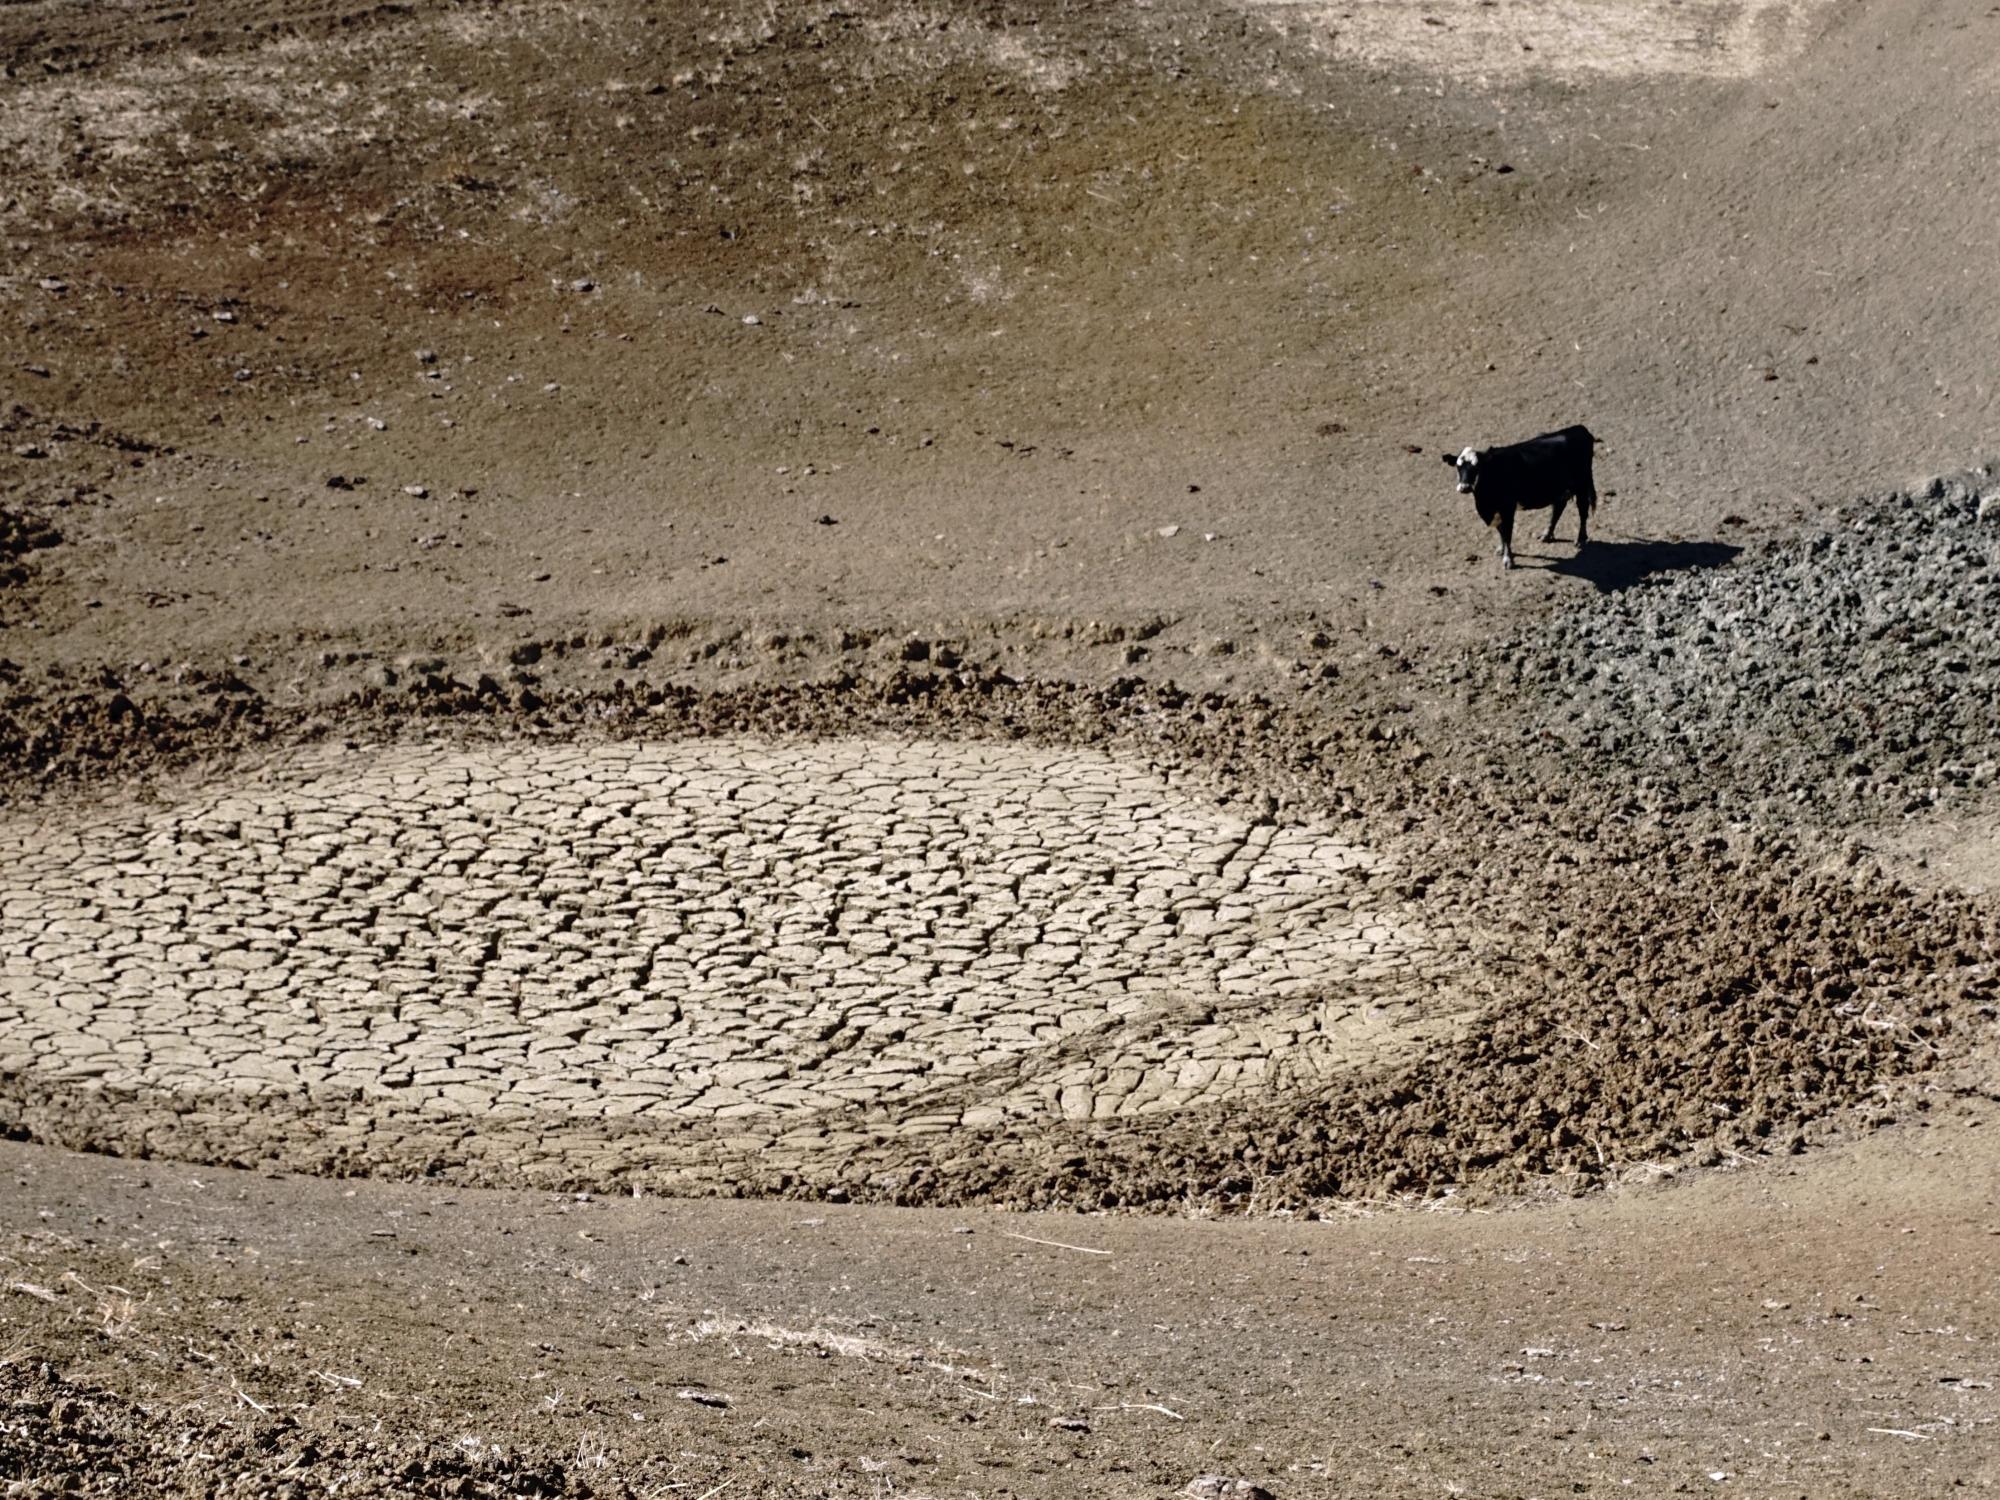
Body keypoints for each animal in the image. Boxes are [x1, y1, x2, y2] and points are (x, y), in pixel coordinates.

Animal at [1442, 425, 1598, 570]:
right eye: (1458, 467)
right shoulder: (1497, 511)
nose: (1465, 487)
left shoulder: (1507, 508)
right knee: (1558, 508)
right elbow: (1501, 532)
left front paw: (1508, 559)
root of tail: (1578, 429)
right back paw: (1547, 535)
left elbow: (1507, 534)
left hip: (1582, 484)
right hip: (1559, 489)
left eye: (1477, 467)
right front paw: (1501, 550)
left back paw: (1580, 539)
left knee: (1583, 511)